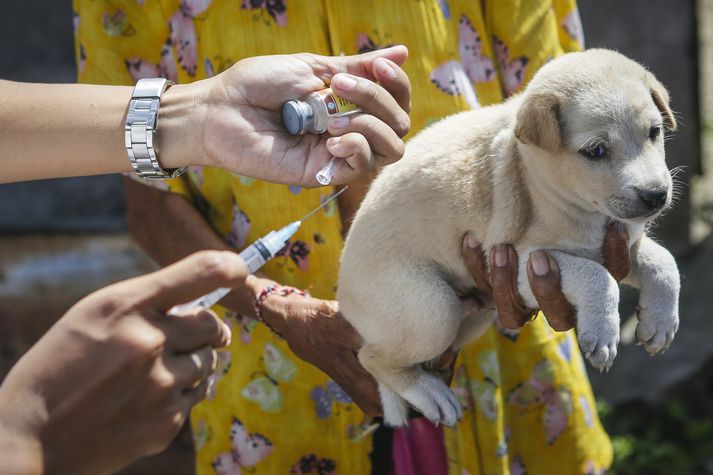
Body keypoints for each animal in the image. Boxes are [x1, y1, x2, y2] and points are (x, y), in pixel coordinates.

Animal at [336, 50, 680, 430]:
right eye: (595, 151)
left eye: (654, 132)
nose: (656, 195)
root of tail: (343, 292)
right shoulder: (523, 263)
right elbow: (596, 277)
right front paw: (603, 333)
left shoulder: (617, 246)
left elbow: (664, 263)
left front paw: (660, 324)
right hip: (432, 308)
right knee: (371, 357)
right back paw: (431, 394)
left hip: (470, 319)